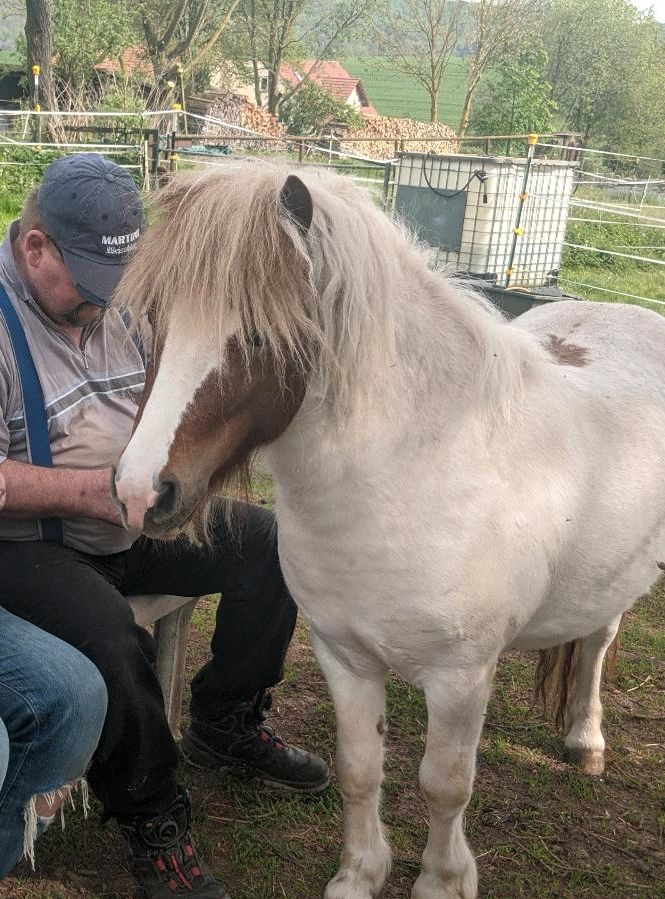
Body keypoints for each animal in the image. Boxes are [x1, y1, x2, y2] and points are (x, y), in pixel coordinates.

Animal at [111, 163, 660, 899]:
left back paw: (585, 741)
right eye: (156, 322)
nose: (140, 491)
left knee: (597, 641)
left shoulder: (459, 677)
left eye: (257, 334)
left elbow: (444, 785)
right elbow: (359, 769)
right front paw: (360, 874)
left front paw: (442, 881)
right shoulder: (344, 656)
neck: (412, 474)